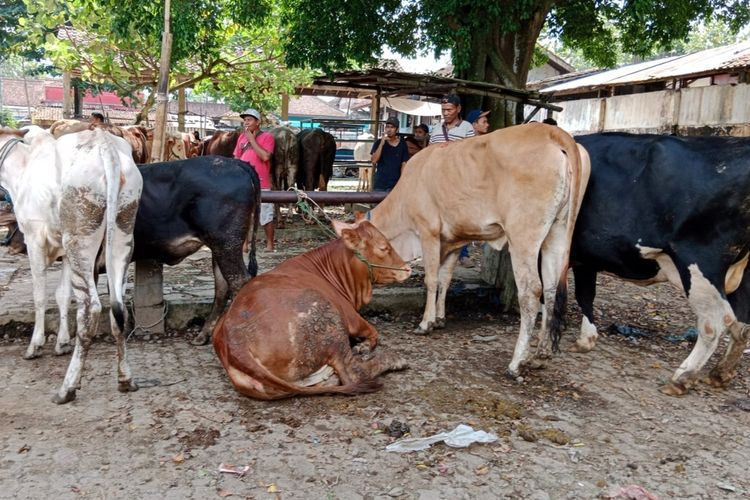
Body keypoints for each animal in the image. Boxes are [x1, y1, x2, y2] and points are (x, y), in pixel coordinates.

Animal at [0, 127, 143, 404]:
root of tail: (104, 143)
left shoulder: (34, 239)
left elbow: (40, 296)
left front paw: (35, 345)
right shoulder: (64, 253)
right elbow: (63, 295)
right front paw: (62, 342)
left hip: (80, 238)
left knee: (91, 308)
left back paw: (67, 387)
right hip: (122, 232)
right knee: (118, 308)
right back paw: (125, 379)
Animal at [212, 221, 412, 400]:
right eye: (384, 248)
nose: (408, 269)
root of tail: (234, 339)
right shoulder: (352, 318)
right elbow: (373, 331)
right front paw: (364, 346)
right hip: (327, 316)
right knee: (353, 372)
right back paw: (393, 359)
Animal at [370, 122, 592, 378]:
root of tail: (552, 132)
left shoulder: (429, 233)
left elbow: (432, 280)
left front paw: (426, 323)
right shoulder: (455, 240)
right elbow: (445, 279)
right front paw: (440, 318)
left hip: (523, 236)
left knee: (531, 292)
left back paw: (516, 363)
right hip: (558, 231)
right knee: (551, 289)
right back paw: (541, 354)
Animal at [568, 133, 750, 394]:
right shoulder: (586, 258)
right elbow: (585, 294)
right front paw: (586, 339)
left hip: (700, 261)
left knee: (714, 322)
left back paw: (682, 377)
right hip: (742, 269)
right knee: (742, 320)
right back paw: (720, 373)